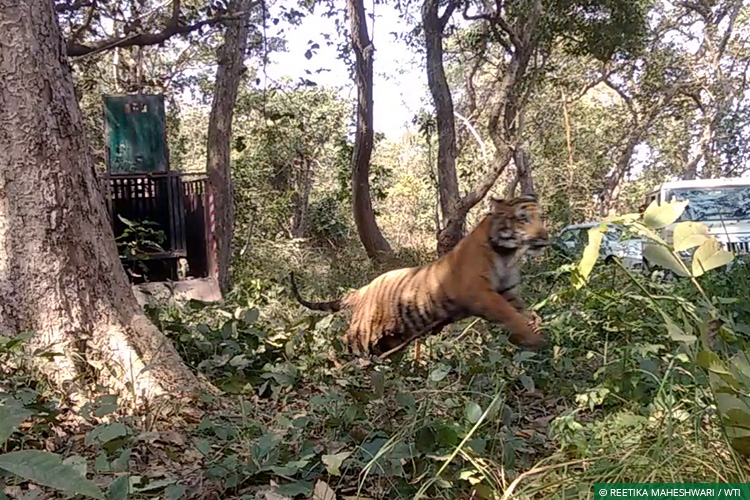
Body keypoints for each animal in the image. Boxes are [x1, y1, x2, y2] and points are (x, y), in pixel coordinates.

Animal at [289, 195, 550, 357]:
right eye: (523, 218)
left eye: (541, 217)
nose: (545, 236)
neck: (507, 253)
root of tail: (363, 289)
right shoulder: (481, 293)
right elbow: (510, 315)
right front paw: (535, 339)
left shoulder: (508, 291)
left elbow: (524, 310)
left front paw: (538, 324)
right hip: (363, 330)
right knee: (346, 341)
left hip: (393, 334)